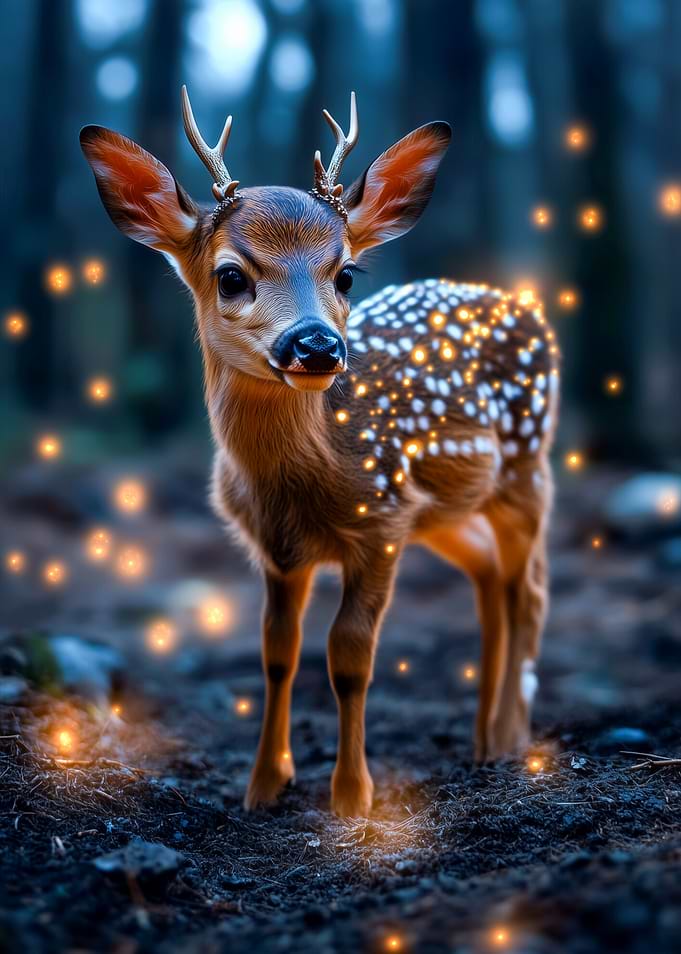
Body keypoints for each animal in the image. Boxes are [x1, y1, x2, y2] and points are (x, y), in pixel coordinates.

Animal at [80, 88, 559, 818]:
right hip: (446, 508)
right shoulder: (279, 547)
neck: (304, 478)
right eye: (230, 276)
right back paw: (482, 743)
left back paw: (508, 740)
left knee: (529, 589)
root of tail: (524, 304)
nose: (316, 345)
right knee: (490, 579)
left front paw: (352, 798)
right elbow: (278, 652)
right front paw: (263, 787)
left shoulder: (382, 521)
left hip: (527, 470)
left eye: (347, 274)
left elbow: (349, 657)